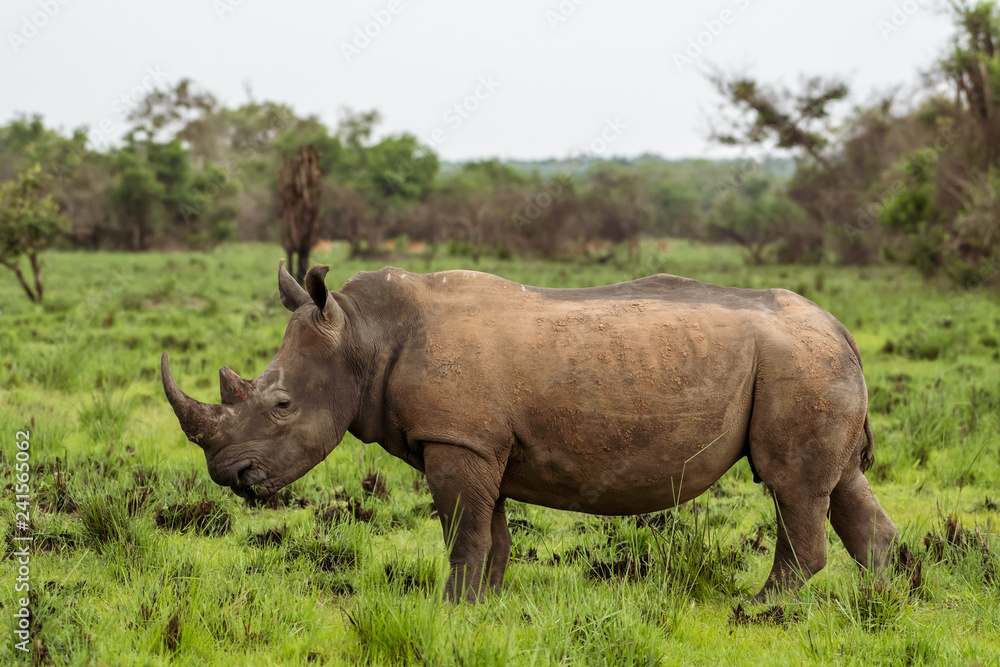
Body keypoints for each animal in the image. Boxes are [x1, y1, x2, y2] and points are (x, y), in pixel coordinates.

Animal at [161, 262, 897, 602]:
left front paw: (449, 607)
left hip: (798, 363)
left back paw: (760, 608)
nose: (228, 475)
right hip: (812, 362)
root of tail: (842, 329)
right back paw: (881, 603)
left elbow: (463, 530)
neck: (362, 336)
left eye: (282, 404)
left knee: (790, 485)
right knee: (840, 484)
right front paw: (485, 602)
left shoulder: (457, 439)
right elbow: (492, 532)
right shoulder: (482, 442)